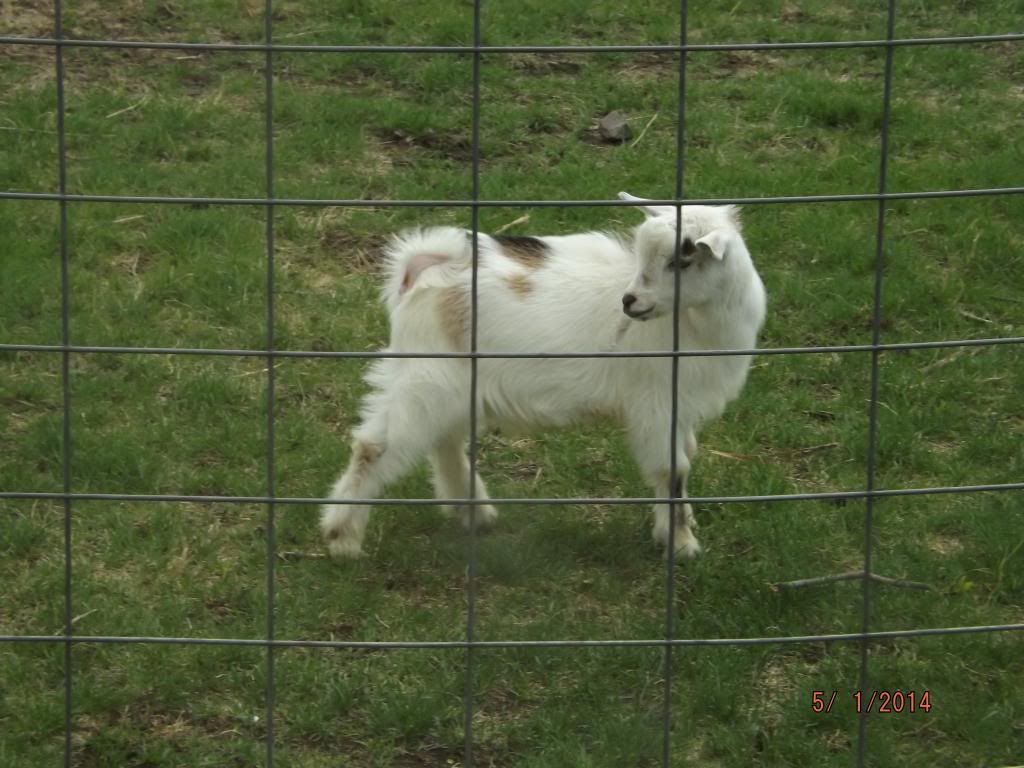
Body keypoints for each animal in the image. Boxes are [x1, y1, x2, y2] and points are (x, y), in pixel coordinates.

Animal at [320, 192, 767, 559]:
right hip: (427, 374)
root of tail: (430, 266)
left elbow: (684, 459)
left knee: (443, 438)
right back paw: (342, 538)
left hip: (447, 381)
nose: (630, 302)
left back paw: (473, 512)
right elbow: (671, 469)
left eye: (681, 260)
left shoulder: (681, 404)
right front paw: (681, 543)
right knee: (375, 447)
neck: (695, 324)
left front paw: (680, 524)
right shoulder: (656, 402)